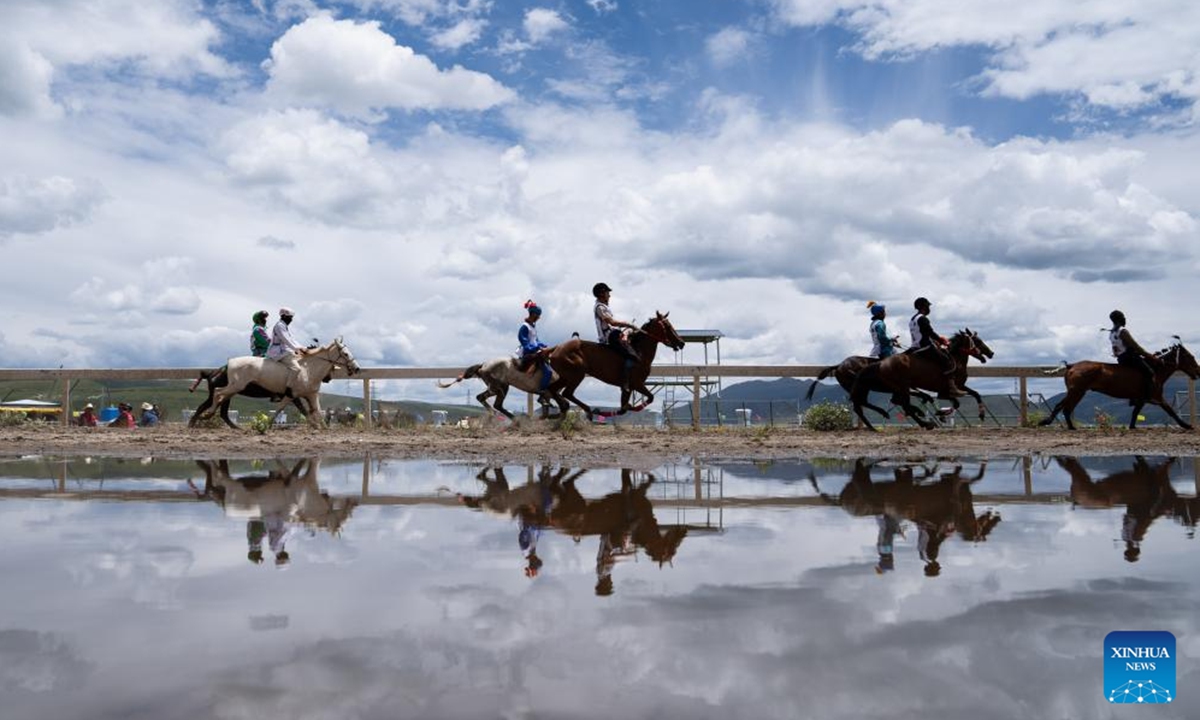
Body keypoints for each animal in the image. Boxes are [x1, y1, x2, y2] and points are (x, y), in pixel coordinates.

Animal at [193, 338, 355, 427]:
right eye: (345, 354)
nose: (356, 368)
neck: (306, 369)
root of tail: (227, 365)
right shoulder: (292, 395)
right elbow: (298, 410)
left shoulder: (310, 395)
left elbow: (315, 411)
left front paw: (321, 428)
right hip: (234, 387)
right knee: (216, 398)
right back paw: (204, 417)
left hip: (233, 390)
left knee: (219, 408)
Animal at [544, 309, 686, 422]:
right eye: (667, 326)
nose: (681, 342)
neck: (639, 351)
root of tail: (557, 348)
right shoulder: (637, 384)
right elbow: (650, 398)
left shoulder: (628, 388)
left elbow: (624, 408)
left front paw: (621, 408)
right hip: (576, 375)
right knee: (567, 393)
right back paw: (586, 410)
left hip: (565, 377)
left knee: (553, 389)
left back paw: (561, 409)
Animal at [844, 328, 984, 429]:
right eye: (977, 341)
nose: (984, 355)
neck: (955, 360)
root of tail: (881, 364)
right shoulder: (945, 392)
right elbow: (956, 402)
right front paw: (941, 414)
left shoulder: (957, 387)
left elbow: (974, 395)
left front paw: (981, 414)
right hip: (900, 387)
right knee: (903, 405)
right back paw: (925, 424)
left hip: (891, 388)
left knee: (866, 404)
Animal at [1036, 338, 1195, 427]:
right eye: (1191, 357)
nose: (1197, 372)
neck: (1155, 370)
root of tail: (1072, 365)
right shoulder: (1153, 397)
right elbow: (1170, 411)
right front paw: (1187, 426)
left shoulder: (1144, 399)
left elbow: (1135, 414)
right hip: (1077, 392)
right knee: (1066, 408)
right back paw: (1068, 427)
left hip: (1074, 391)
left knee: (1061, 406)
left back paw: (1049, 422)